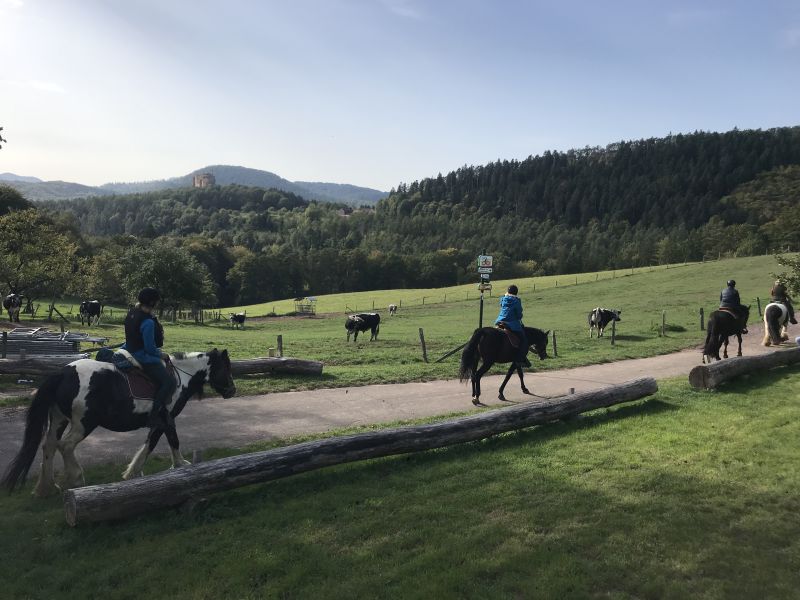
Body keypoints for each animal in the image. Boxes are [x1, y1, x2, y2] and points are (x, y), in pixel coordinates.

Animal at [1, 350, 234, 494]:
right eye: (226, 369)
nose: (232, 390)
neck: (180, 378)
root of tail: (63, 372)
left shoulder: (159, 421)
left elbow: (151, 443)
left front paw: (133, 472)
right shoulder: (166, 418)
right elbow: (171, 440)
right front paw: (180, 466)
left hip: (59, 419)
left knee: (48, 446)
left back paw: (46, 488)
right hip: (84, 422)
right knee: (65, 446)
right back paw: (76, 478)